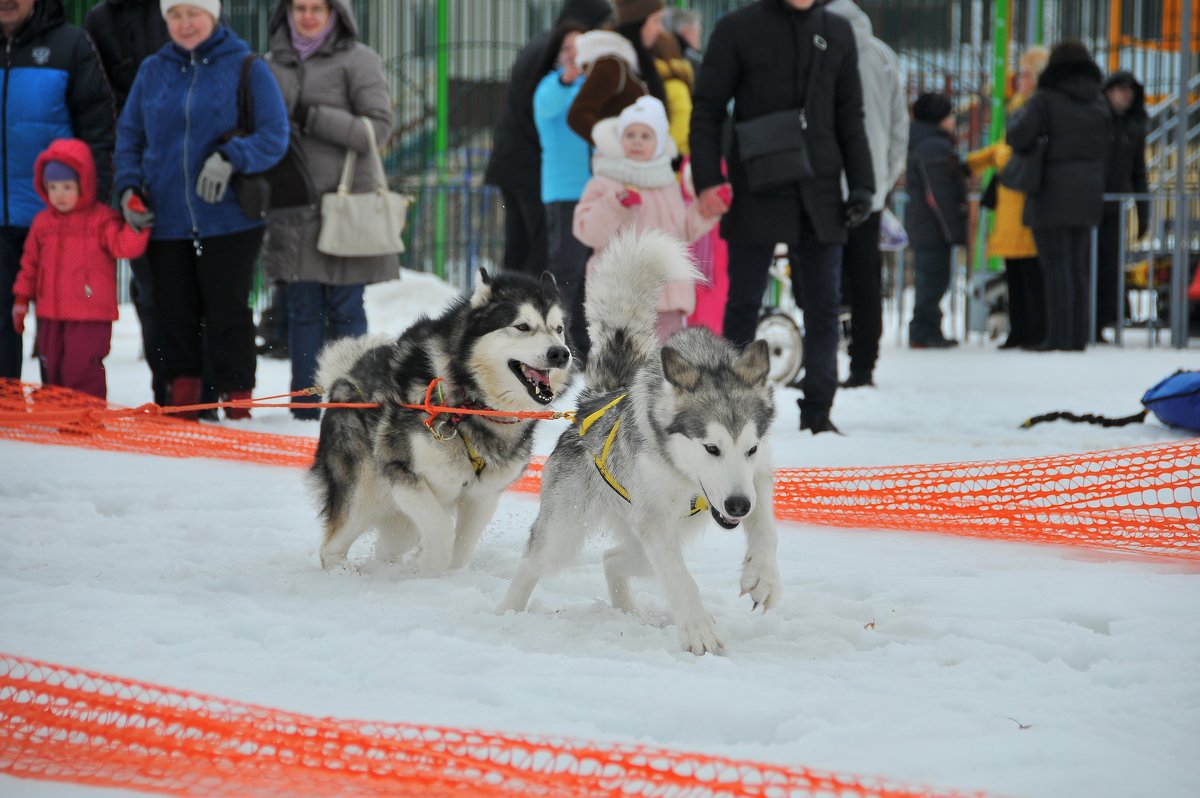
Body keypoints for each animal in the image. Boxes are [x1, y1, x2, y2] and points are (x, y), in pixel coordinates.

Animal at [309, 267, 571, 573]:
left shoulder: (483, 495)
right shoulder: (402, 472)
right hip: (365, 494)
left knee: (389, 545)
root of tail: (344, 375)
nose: (560, 353)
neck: (472, 403)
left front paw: (448, 575)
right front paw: (431, 565)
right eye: (522, 326)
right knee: (332, 546)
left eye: (558, 329)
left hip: (400, 520)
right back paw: (345, 571)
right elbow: (442, 528)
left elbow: (462, 544)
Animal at [494, 226, 777, 652]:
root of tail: (594, 400)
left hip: (662, 533)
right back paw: (505, 614)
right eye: (711, 448)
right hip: (569, 532)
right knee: (535, 561)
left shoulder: (756, 477)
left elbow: (766, 524)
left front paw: (762, 575)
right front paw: (698, 629)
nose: (737, 506)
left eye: (751, 448)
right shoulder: (655, 521)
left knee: (613, 559)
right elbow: (680, 578)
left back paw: (627, 611)